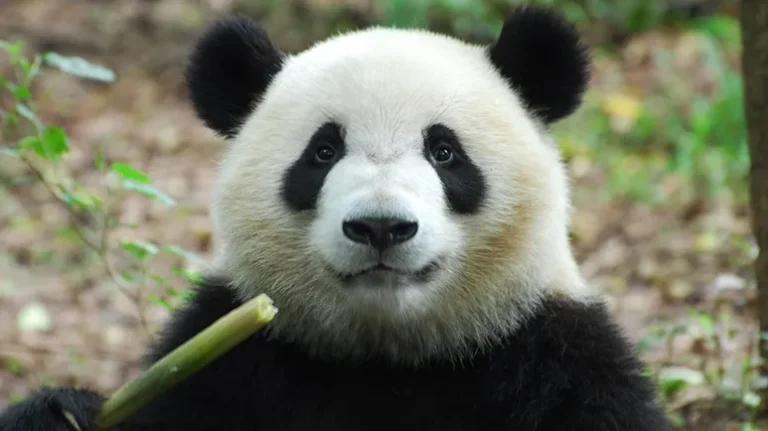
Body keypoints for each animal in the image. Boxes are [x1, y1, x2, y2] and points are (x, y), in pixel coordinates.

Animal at [0, 5, 670, 431]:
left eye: (444, 152)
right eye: (323, 152)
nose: (381, 227)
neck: (388, 354)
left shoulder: (549, 357)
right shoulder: (231, 362)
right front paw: (54, 411)